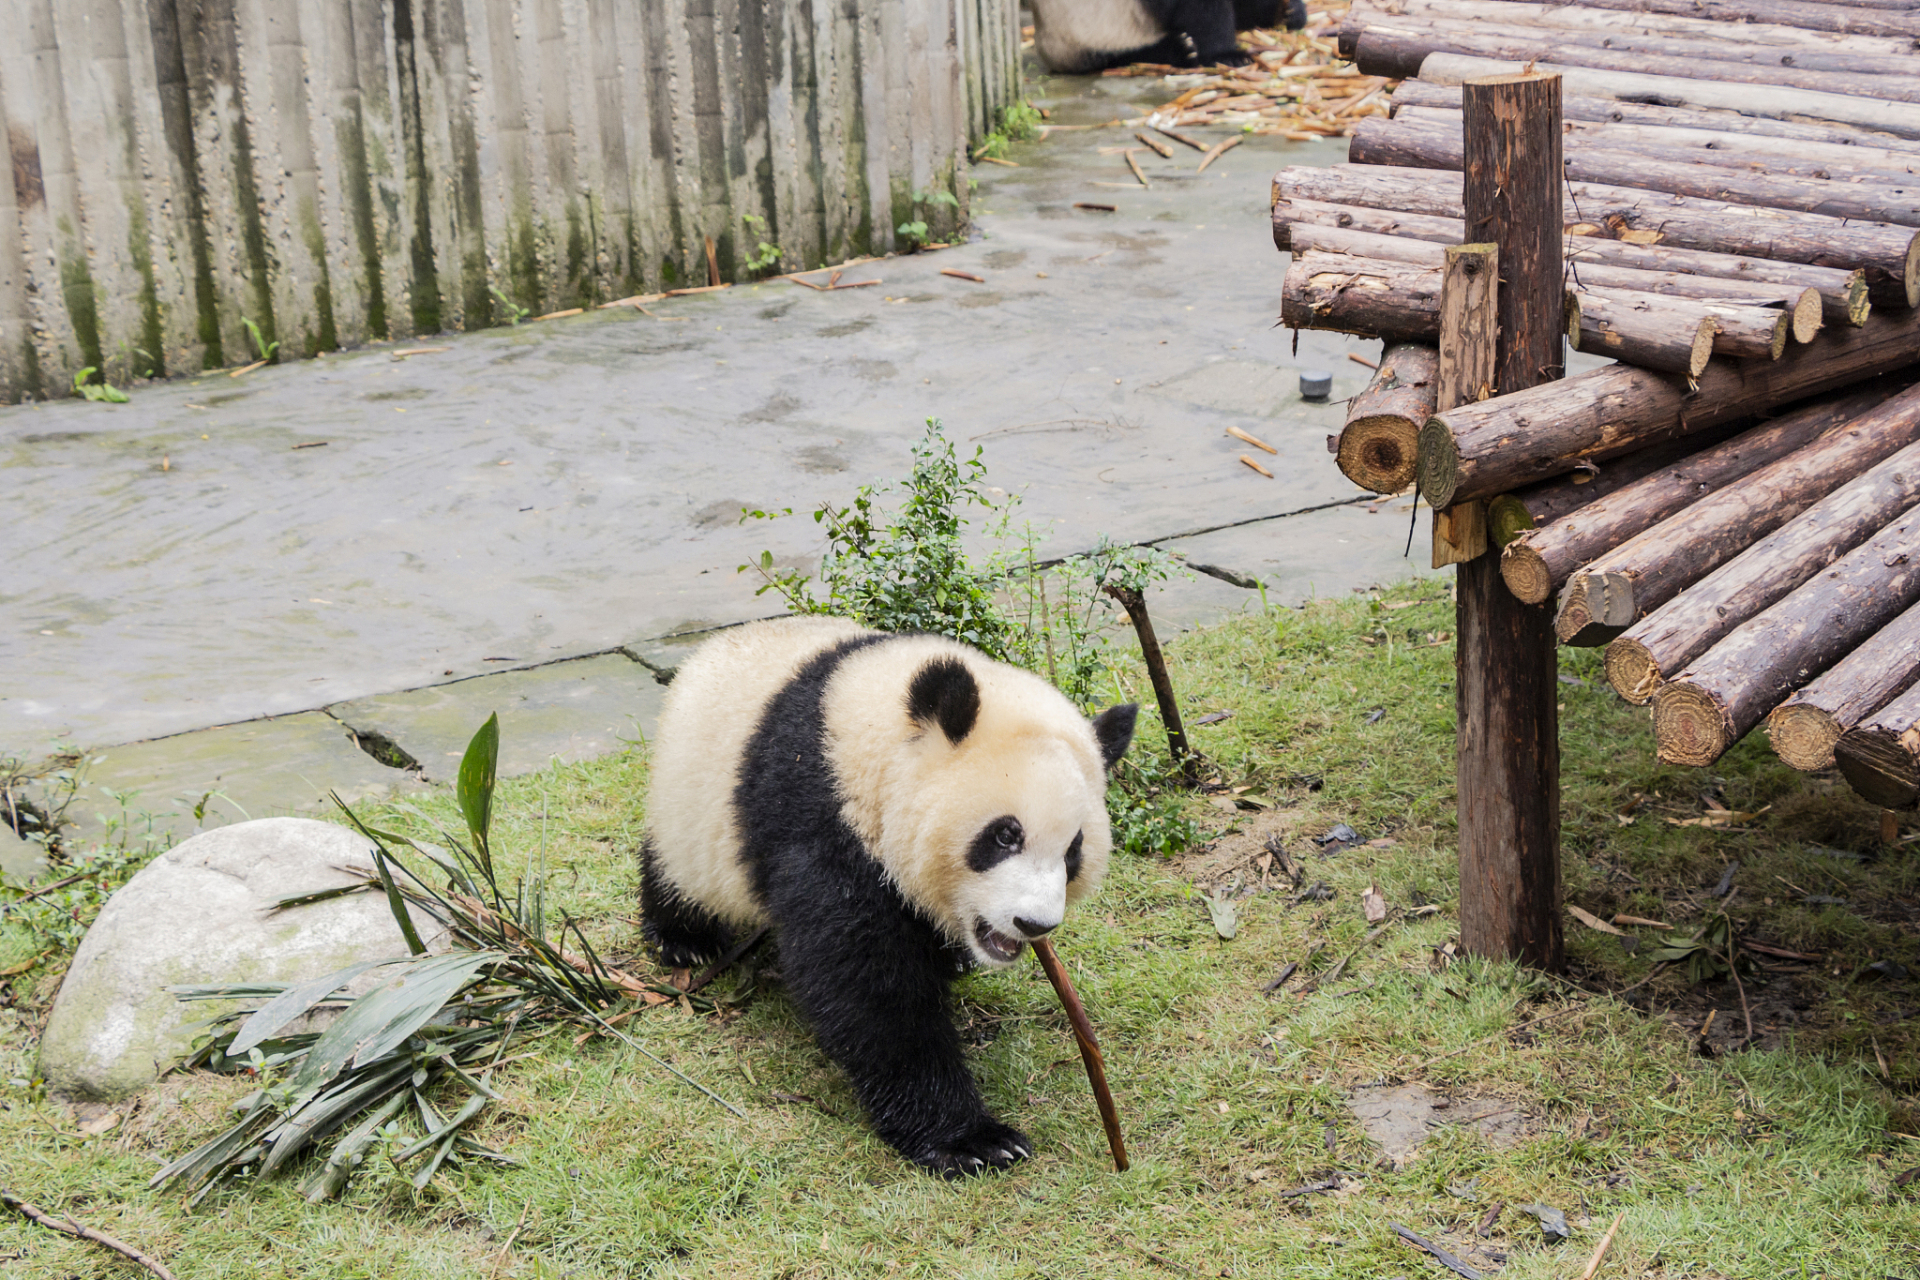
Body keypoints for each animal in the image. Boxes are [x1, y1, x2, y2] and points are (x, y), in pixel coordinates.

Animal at [637, 614, 1128, 1174]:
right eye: (1005, 835)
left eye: (1073, 852)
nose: (1035, 924)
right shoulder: (823, 819)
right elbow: (870, 988)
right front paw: (972, 1141)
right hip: (692, 801)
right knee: (681, 868)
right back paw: (683, 939)